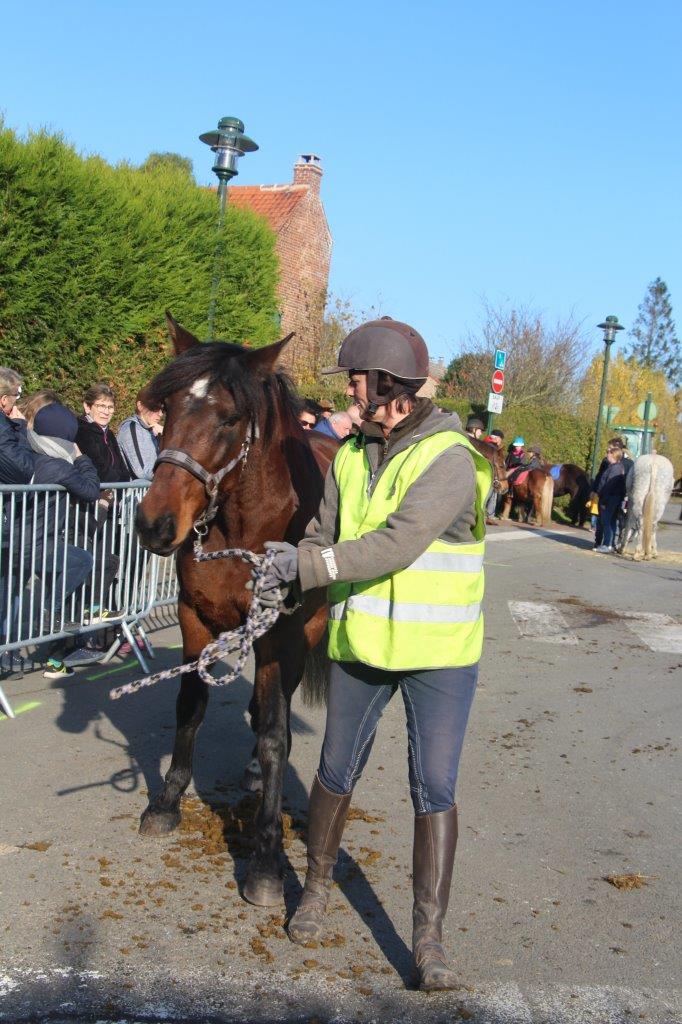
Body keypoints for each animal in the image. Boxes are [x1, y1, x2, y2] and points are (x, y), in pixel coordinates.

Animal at [134, 311, 335, 905]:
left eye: (229, 418)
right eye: (168, 408)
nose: (154, 524)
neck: (244, 528)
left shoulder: (282, 638)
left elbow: (274, 735)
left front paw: (266, 858)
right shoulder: (193, 617)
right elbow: (190, 706)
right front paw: (166, 801)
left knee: (276, 712)